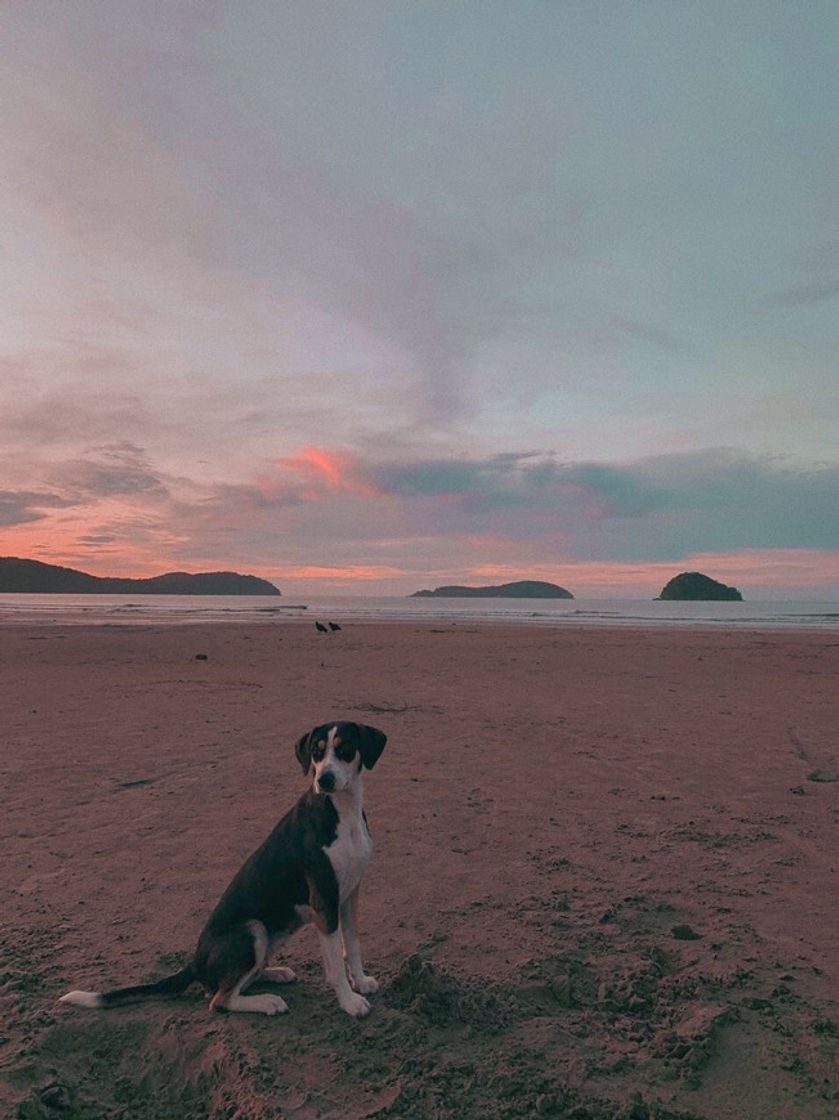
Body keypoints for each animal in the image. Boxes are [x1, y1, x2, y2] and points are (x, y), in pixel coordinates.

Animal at [60, 721, 387, 1021]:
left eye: (345, 749)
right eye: (317, 753)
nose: (324, 779)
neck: (343, 812)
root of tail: (195, 962)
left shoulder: (349, 895)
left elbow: (352, 945)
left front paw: (361, 982)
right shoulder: (324, 901)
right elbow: (335, 965)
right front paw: (349, 1002)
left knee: (240, 980)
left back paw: (276, 973)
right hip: (252, 929)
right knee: (220, 999)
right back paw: (268, 1001)